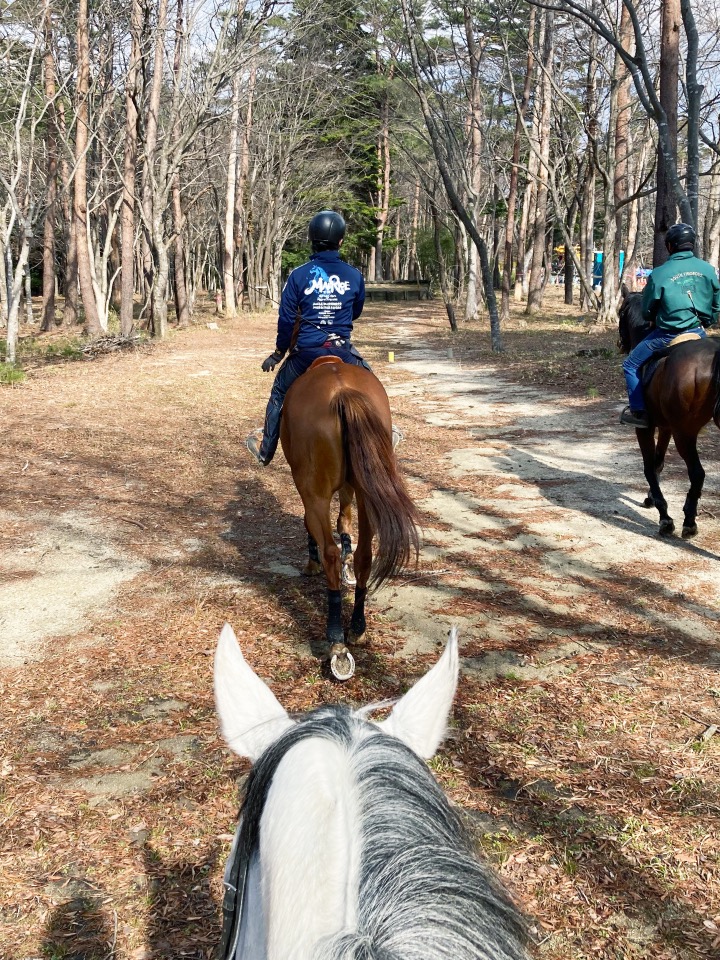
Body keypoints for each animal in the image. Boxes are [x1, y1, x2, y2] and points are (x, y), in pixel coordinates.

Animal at [278, 356, 420, 680]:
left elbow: (311, 524)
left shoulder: (307, 489)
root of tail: (341, 391)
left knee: (330, 550)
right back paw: (357, 627)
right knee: (366, 554)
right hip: (368, 490)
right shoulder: (349, 486)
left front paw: (312, 563)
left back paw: (336, 641)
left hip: (316, 491)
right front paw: (347, 558)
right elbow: (344, 519)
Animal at [616, 288, 720, 536]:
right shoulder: (665, 427)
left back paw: (689, 520)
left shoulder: (645, 428)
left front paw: (664, 516)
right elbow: (658, 462)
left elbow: (648, 466)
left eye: (620, 312)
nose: (620, 343)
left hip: (685, 434)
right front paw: (651, 498)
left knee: (697, 473)